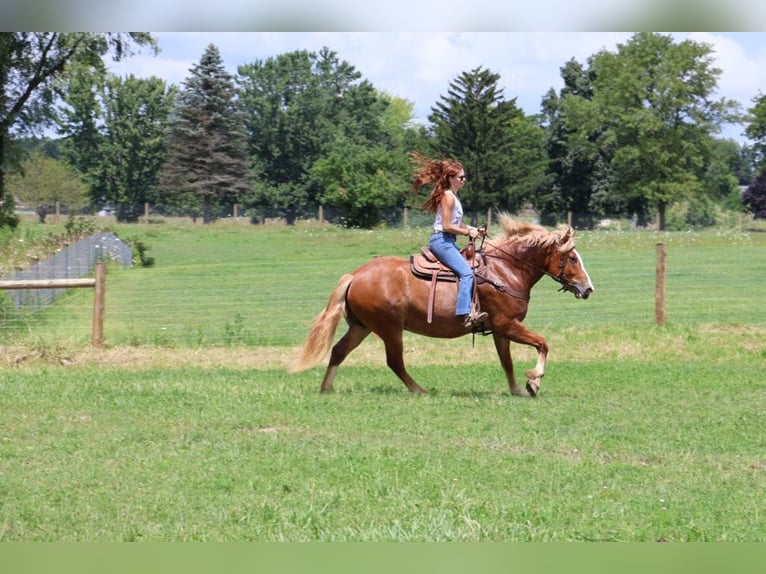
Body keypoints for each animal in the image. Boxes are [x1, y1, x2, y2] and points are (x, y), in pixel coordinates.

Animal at [292, 214, 596, 398]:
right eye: (572, 258)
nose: (588, 288)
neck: (505, 271)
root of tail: (355, 275)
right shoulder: (507, 324)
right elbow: (543, 344)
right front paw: (533, 381)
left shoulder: (500, 330)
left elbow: (507, 362)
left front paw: (517, 390)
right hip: (390, 329)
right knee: (394, 361)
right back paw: (419, 390)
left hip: (362, 327)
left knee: (339, 351)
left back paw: (326, 388)